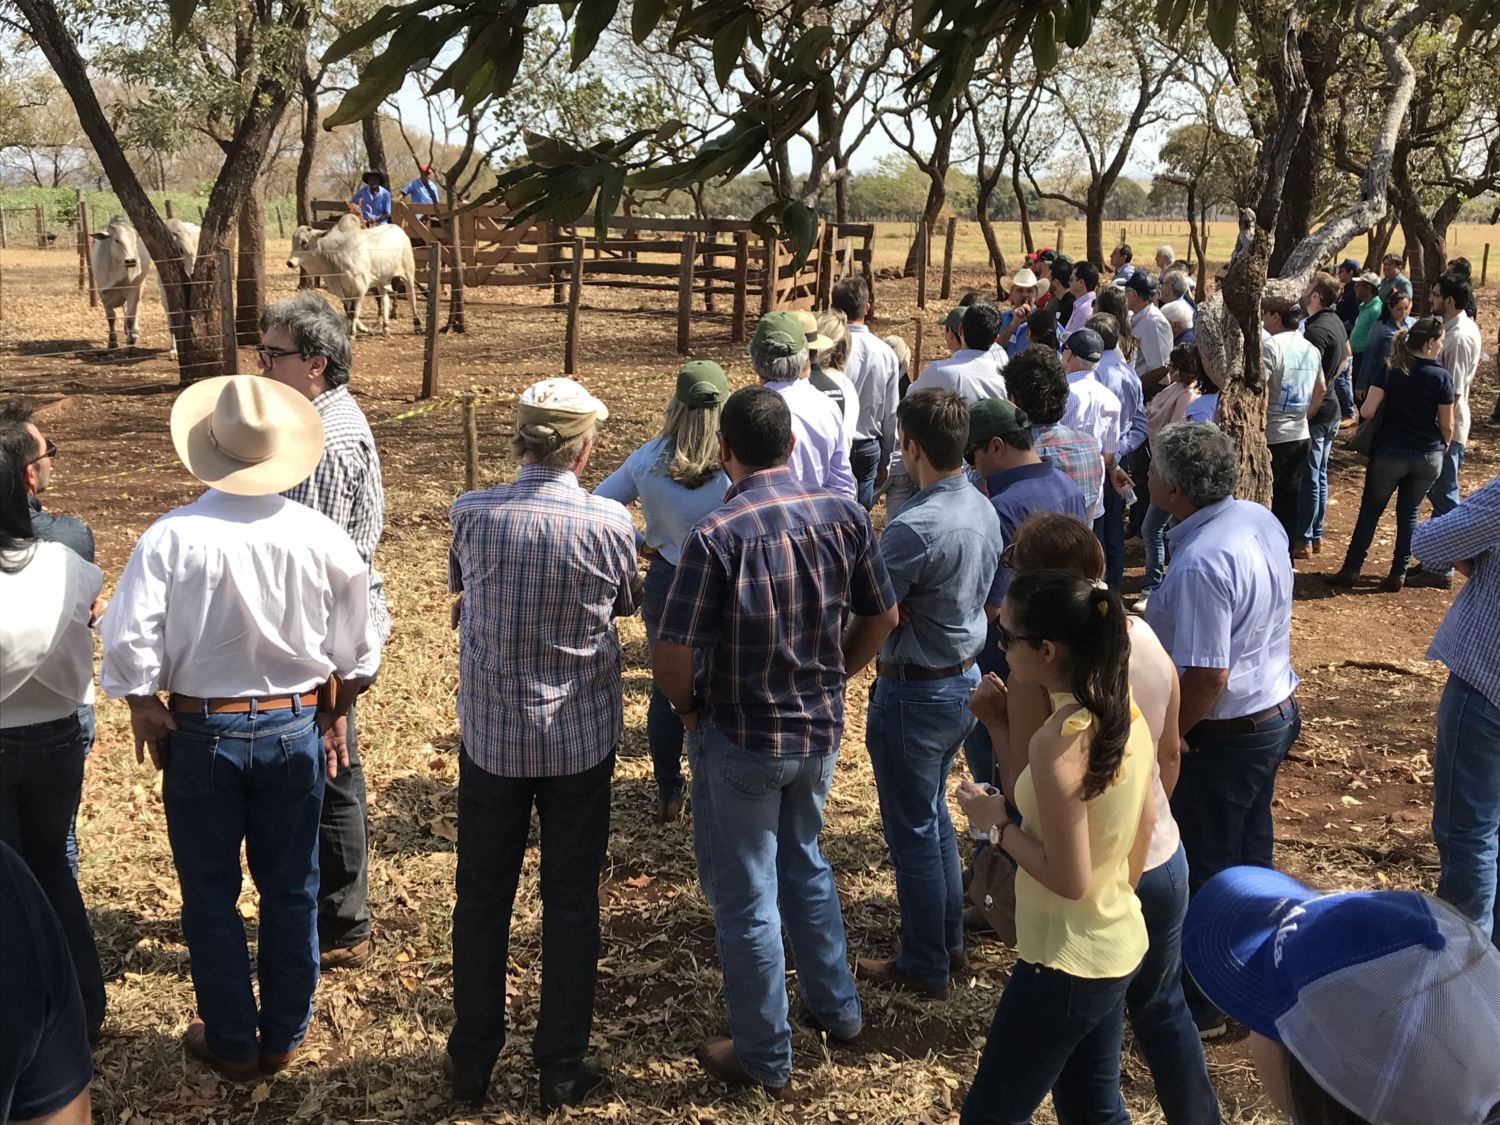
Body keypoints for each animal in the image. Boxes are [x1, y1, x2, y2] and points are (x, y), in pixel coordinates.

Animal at [90, 216, 151, 348]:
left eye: (135, 241)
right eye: (117, 240)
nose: (131, 261)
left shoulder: (133, 291)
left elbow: (130, 318)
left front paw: (130, 341)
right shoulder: (103, 293)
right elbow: (111, 318)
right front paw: (112, 342)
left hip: (141, 285)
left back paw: (134, 331)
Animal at [285, 216, 423, 337]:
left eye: (304, 242)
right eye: (293, 242)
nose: (289, 263)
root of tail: (399, 230)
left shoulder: (361, 288)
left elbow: (355, 310)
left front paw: (353, 333)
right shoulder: (342, 293)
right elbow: (349, 311)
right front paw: (365, 329)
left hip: (408, 273)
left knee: (411, 297)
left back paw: (417, 325)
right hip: (382, 280)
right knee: (385, 300)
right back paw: (385, 327)